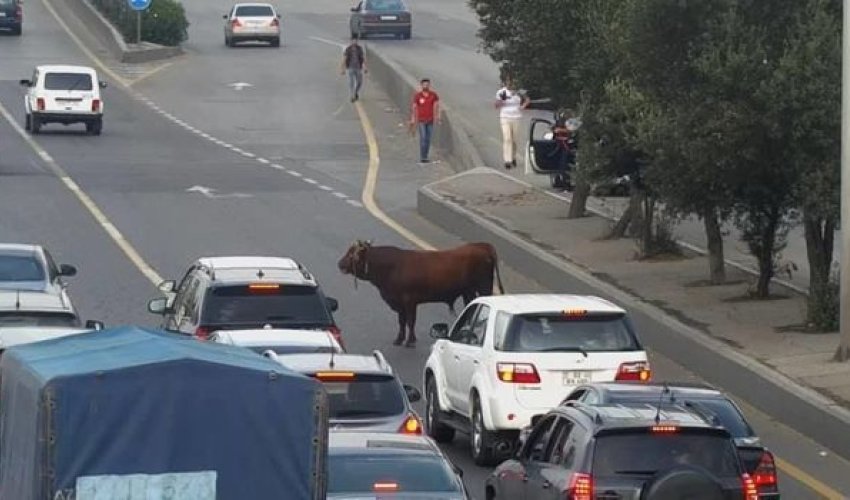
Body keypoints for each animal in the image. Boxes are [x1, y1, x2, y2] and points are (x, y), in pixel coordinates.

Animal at [336, 241, 504, 348]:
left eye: (352, 255)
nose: (339, 263)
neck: (391, 267)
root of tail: (481, 245)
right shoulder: (399, 303)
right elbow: (401, 321)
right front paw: (399, 339)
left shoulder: (409, 301)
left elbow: (410, 321)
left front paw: (410, 341)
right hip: (468, 291)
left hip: (484, 287)